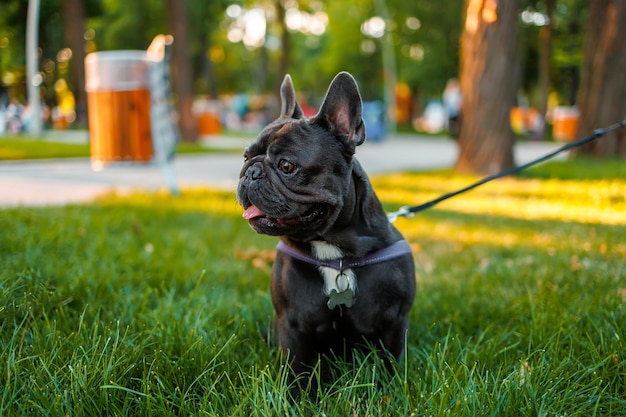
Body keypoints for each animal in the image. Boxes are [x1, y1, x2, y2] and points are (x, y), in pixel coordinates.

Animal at [234, 72, 414, 390]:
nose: (251, 172)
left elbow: (389, 364)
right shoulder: (292, 324)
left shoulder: (394, 323)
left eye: (287, 165)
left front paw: (390, 392)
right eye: (246, 157)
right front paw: (297, 397)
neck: (334, 252)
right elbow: (297, 370)